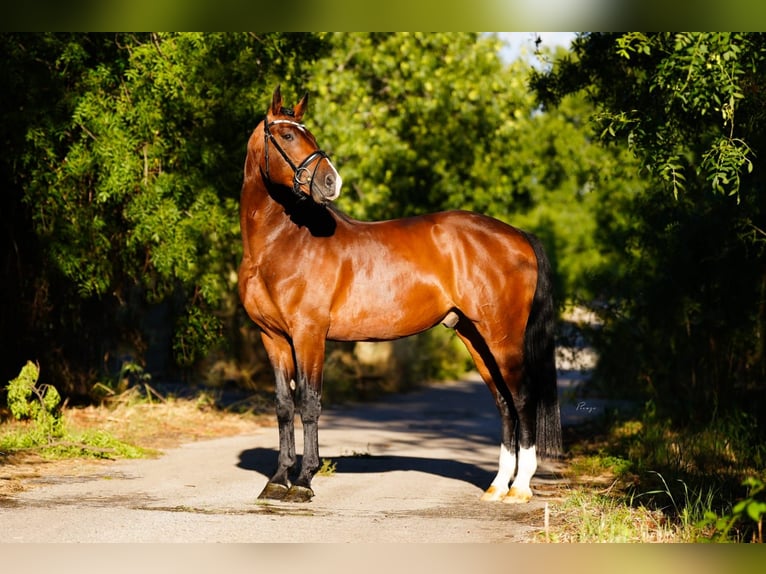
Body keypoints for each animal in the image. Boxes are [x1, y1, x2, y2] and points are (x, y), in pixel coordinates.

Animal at [240, 84, 564, 504]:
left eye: (308, 133)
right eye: (288, 135)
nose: (331, 182)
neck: (282, 244)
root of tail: (517, 235)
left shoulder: (309, 335)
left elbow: (308, 403)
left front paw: (305, 480)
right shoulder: (274, 338)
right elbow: (283, 405)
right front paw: (278, 480)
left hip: (503, 335)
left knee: (522, 398)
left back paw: (520, 488)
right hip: (474, 336)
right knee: (504, 403)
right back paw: (497, 486)